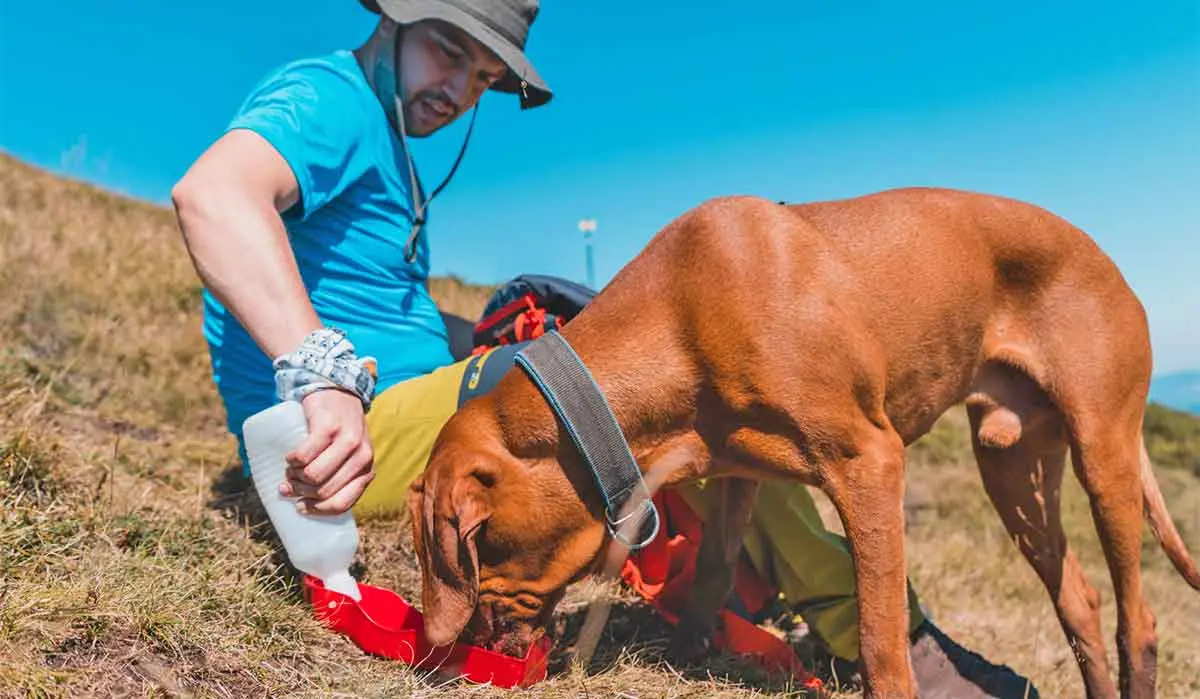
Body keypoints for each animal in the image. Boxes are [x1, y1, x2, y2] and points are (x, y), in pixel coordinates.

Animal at [408, 187, 1195, 699]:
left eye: (463, 549)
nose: (447, 644)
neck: (684, 312)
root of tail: (1108, 259)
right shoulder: (736, 476)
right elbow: (711, 578)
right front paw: (690, 652)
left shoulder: (870, 466)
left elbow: (880, 637)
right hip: (1013, 469)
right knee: (1080, 602)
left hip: (1104, 453)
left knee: (1138, 620)